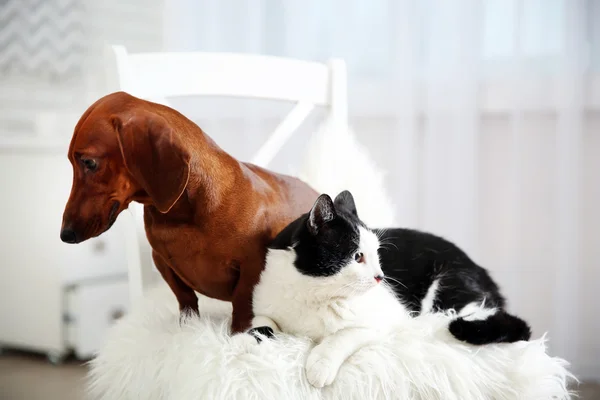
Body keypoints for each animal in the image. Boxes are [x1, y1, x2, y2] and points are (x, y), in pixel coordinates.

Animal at [61, 90, 318, 332]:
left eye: (89, 162)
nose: (65, 235)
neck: (183, 217)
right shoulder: (161, 260)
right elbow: (184, 297)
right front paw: (188, 326)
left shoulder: (253, 264)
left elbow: (243, 301)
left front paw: (238, 332)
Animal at [248, 192, 528, 390]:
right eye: (357, 256)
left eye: (377, 254)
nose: (380, 277)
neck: (313, 294)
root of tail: (483, 273)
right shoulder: (265, 305)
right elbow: (262, 323)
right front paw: (257, 338)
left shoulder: (384, 320)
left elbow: (344, 335)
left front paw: (320, 365)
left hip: (450, 288)